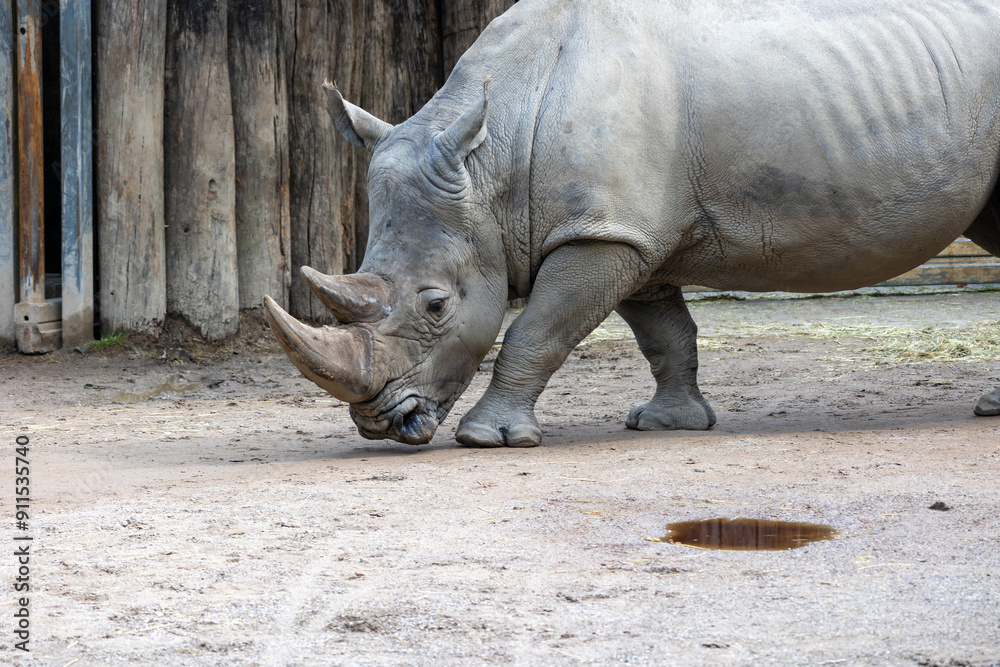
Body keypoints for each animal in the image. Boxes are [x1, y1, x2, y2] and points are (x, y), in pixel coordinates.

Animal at [263, 0, 1000, 447]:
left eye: (436, 305)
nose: (380, 422)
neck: (493, 157)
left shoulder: (601, 231)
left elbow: (536, 331)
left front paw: (487, 438)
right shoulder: (629, 232)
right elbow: (664, 335)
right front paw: (670, 424)